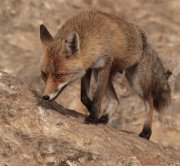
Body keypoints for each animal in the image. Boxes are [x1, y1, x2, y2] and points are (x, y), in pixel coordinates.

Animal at [40, 10, 171, 139]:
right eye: (44, 75)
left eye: (59, 75)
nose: (45, 97)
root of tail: (146, 40)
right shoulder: (89, 68)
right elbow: (84, 97)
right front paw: (95, 114)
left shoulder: (104, 65)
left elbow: (97, 98)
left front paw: (93, 118)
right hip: (101, 75)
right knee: (116, 100)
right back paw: (105, 118)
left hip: (137, 82)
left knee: (150, 102)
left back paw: (147, 131)